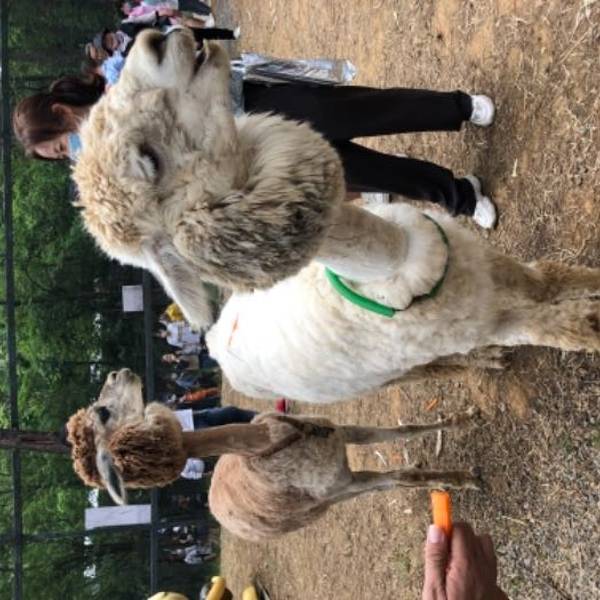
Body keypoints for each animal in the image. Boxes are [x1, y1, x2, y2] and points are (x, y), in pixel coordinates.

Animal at [66, 369, 481, 540]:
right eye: (103, 412)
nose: (118, 373)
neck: (279, 444)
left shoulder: (336, 435)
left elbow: (400, 431)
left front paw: (464, 418)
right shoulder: (340, 487)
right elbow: (400, 478)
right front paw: (463, 479)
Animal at [73, 29, 600, 404]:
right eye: (148, 160)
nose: (154, 41)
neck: (397, 266)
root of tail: (217, 336)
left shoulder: (492, 267)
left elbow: (552, 277)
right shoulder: (488, 320)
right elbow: (559, 326)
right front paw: (589, 321)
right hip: (376, 378)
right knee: (427, 371)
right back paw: (479, 362)